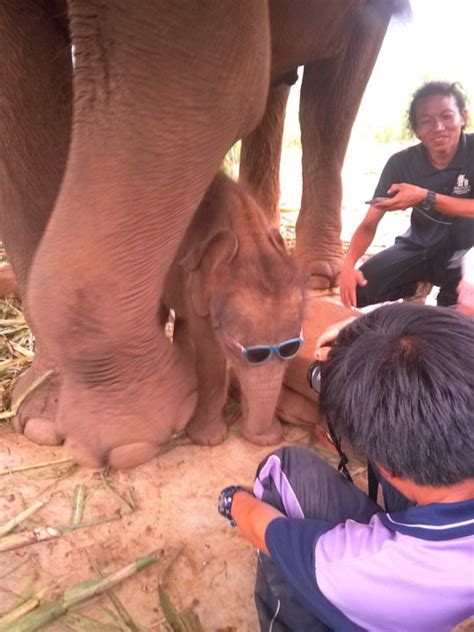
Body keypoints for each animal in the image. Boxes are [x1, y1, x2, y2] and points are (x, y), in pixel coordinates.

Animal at [161, 172, 306, 444]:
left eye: (292, 349)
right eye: (236, 350)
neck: (247, 236)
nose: (268, 438)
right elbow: (211, 352)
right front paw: (207, 440)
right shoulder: (197, 281)